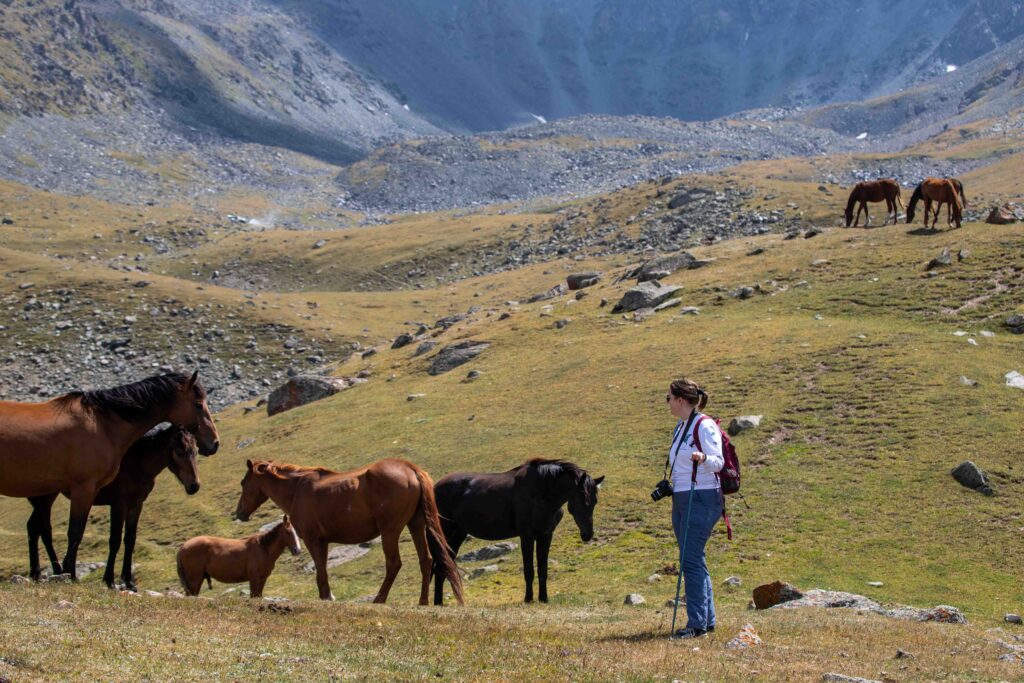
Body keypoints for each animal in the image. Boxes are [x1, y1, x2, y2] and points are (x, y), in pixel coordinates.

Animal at [25, 425, 201, 590]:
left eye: (195, 450)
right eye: (179, 451)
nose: (194, 486)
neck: (136, 463)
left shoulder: (136, 504)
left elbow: (130, 539)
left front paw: (128, 581)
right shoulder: (119, 504)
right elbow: (115, 540)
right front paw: (109, 580)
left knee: (33, 527)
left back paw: (36, 574)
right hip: (46, 498)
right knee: (44, 530)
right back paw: (57, 571)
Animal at [234, 458, 464, 605]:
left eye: (243, 482)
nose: (240, 513)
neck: (297, 489)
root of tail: (410, 468)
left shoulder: (313, 539)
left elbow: (321, 571)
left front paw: (326, 597)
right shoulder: (323, 541)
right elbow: (323, 569)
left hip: (390, 532)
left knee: (394, 564)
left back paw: (379, 599)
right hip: (416, 526)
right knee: (425, 560)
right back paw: (423, 601)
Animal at [431, 458, 604, 605]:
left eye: (595, 501)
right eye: (582, 499)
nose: (587, 534)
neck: (541, 493)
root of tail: (435, 487)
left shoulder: (545, 535)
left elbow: (543, 569)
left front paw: (543, 598)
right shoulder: (527, 536)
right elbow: (529, 570)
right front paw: (528, 599)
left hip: (457, 535)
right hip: (446, 533)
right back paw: (437, 603)